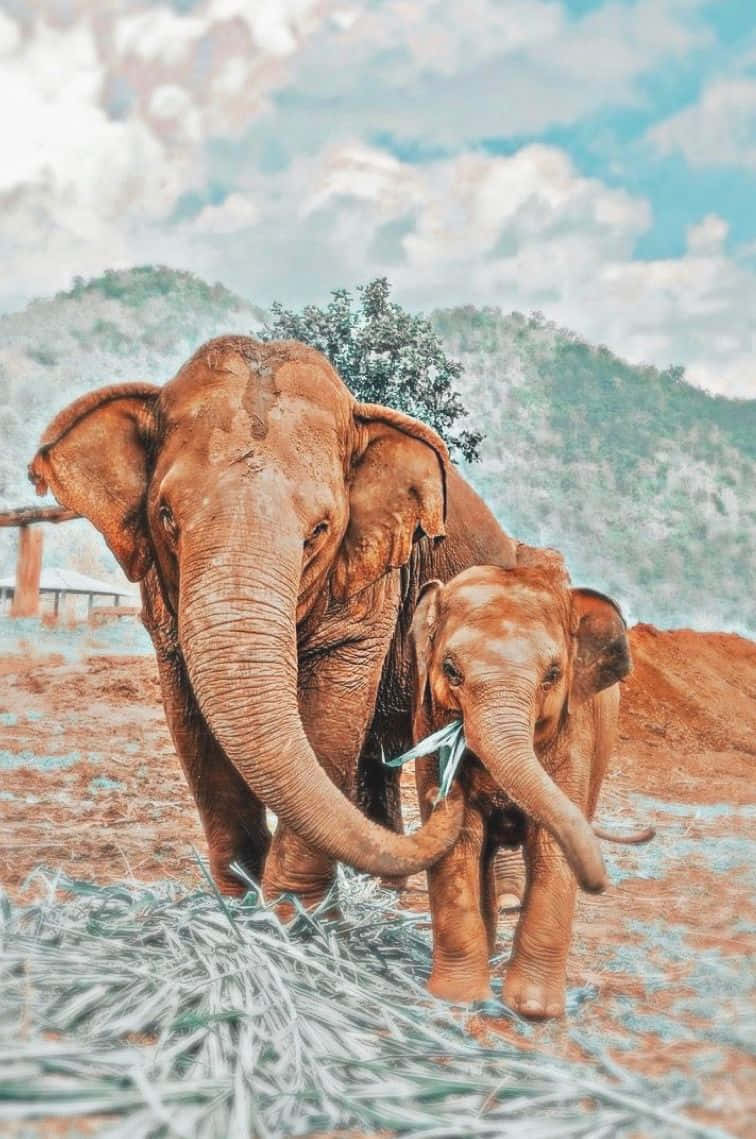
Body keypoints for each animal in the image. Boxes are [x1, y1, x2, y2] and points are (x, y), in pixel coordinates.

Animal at [27, 334, 547, 907]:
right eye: (166, 517)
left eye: (319, 530)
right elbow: (192, 726)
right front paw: (241, 908)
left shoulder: (368, 582)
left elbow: (330, 719)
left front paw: (293, 914)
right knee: (377, 754)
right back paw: (385, 892)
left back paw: (501, 897)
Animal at [408, 557, 633, 1018]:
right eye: (451, 670)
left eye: (553, 674)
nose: (600, 884)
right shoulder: (426, 722)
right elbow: (457, 847)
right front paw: (459, 1000)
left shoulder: (574, 736)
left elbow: (550, 847)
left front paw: (533, 1010)